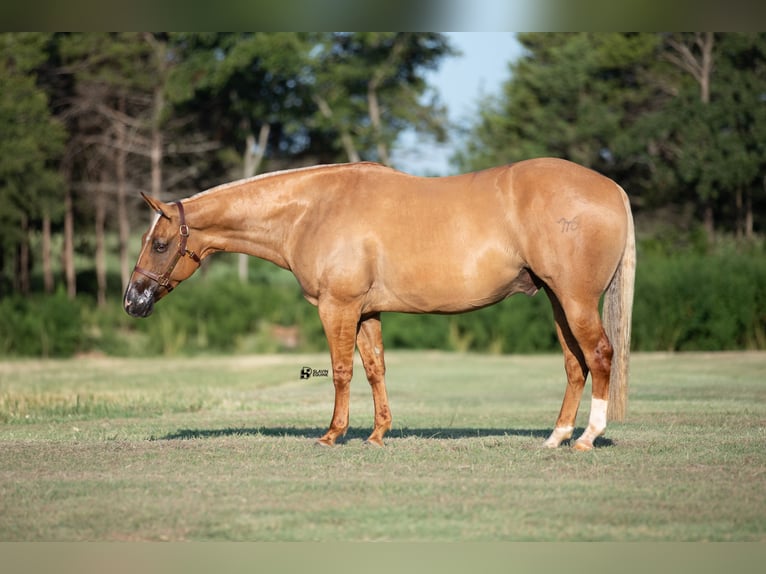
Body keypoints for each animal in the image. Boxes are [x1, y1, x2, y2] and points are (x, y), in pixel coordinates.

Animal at [124, 158, 636, 450]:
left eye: (161, 244)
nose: (132, 302)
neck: (312, 211)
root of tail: (612, 187)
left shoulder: (337, 307)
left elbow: (342, 371)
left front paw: (333, 434)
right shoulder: (367, 311)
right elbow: (375, 369)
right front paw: (377, 434)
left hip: (575, 300)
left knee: (599, 355)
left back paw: (587, 438)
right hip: (557, 301)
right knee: (574, 364)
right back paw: (555, 437)